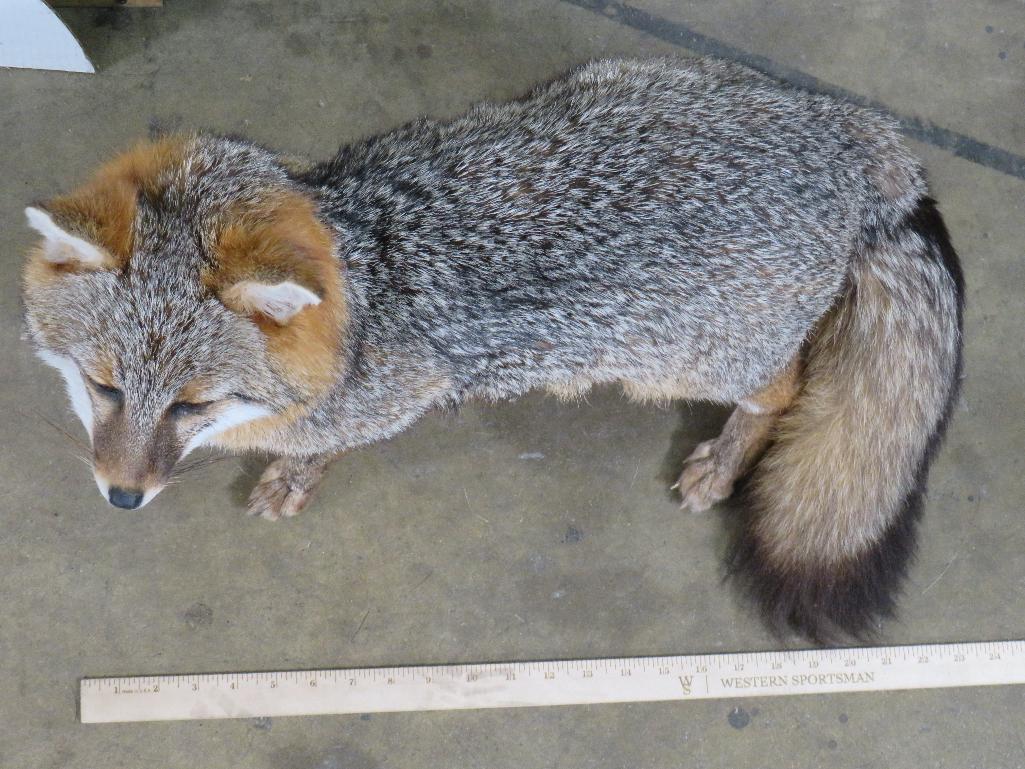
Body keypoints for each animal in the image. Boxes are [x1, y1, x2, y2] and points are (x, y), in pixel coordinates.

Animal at [26, 57, 967, 639]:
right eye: (105, 388)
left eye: (194, 403)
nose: (122, 498)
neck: (366, 274)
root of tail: (844, 132)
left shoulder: (401, 394)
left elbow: (334, 441)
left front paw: (297, 472)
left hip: (685, 359)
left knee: (784, 386)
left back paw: (726, 456)